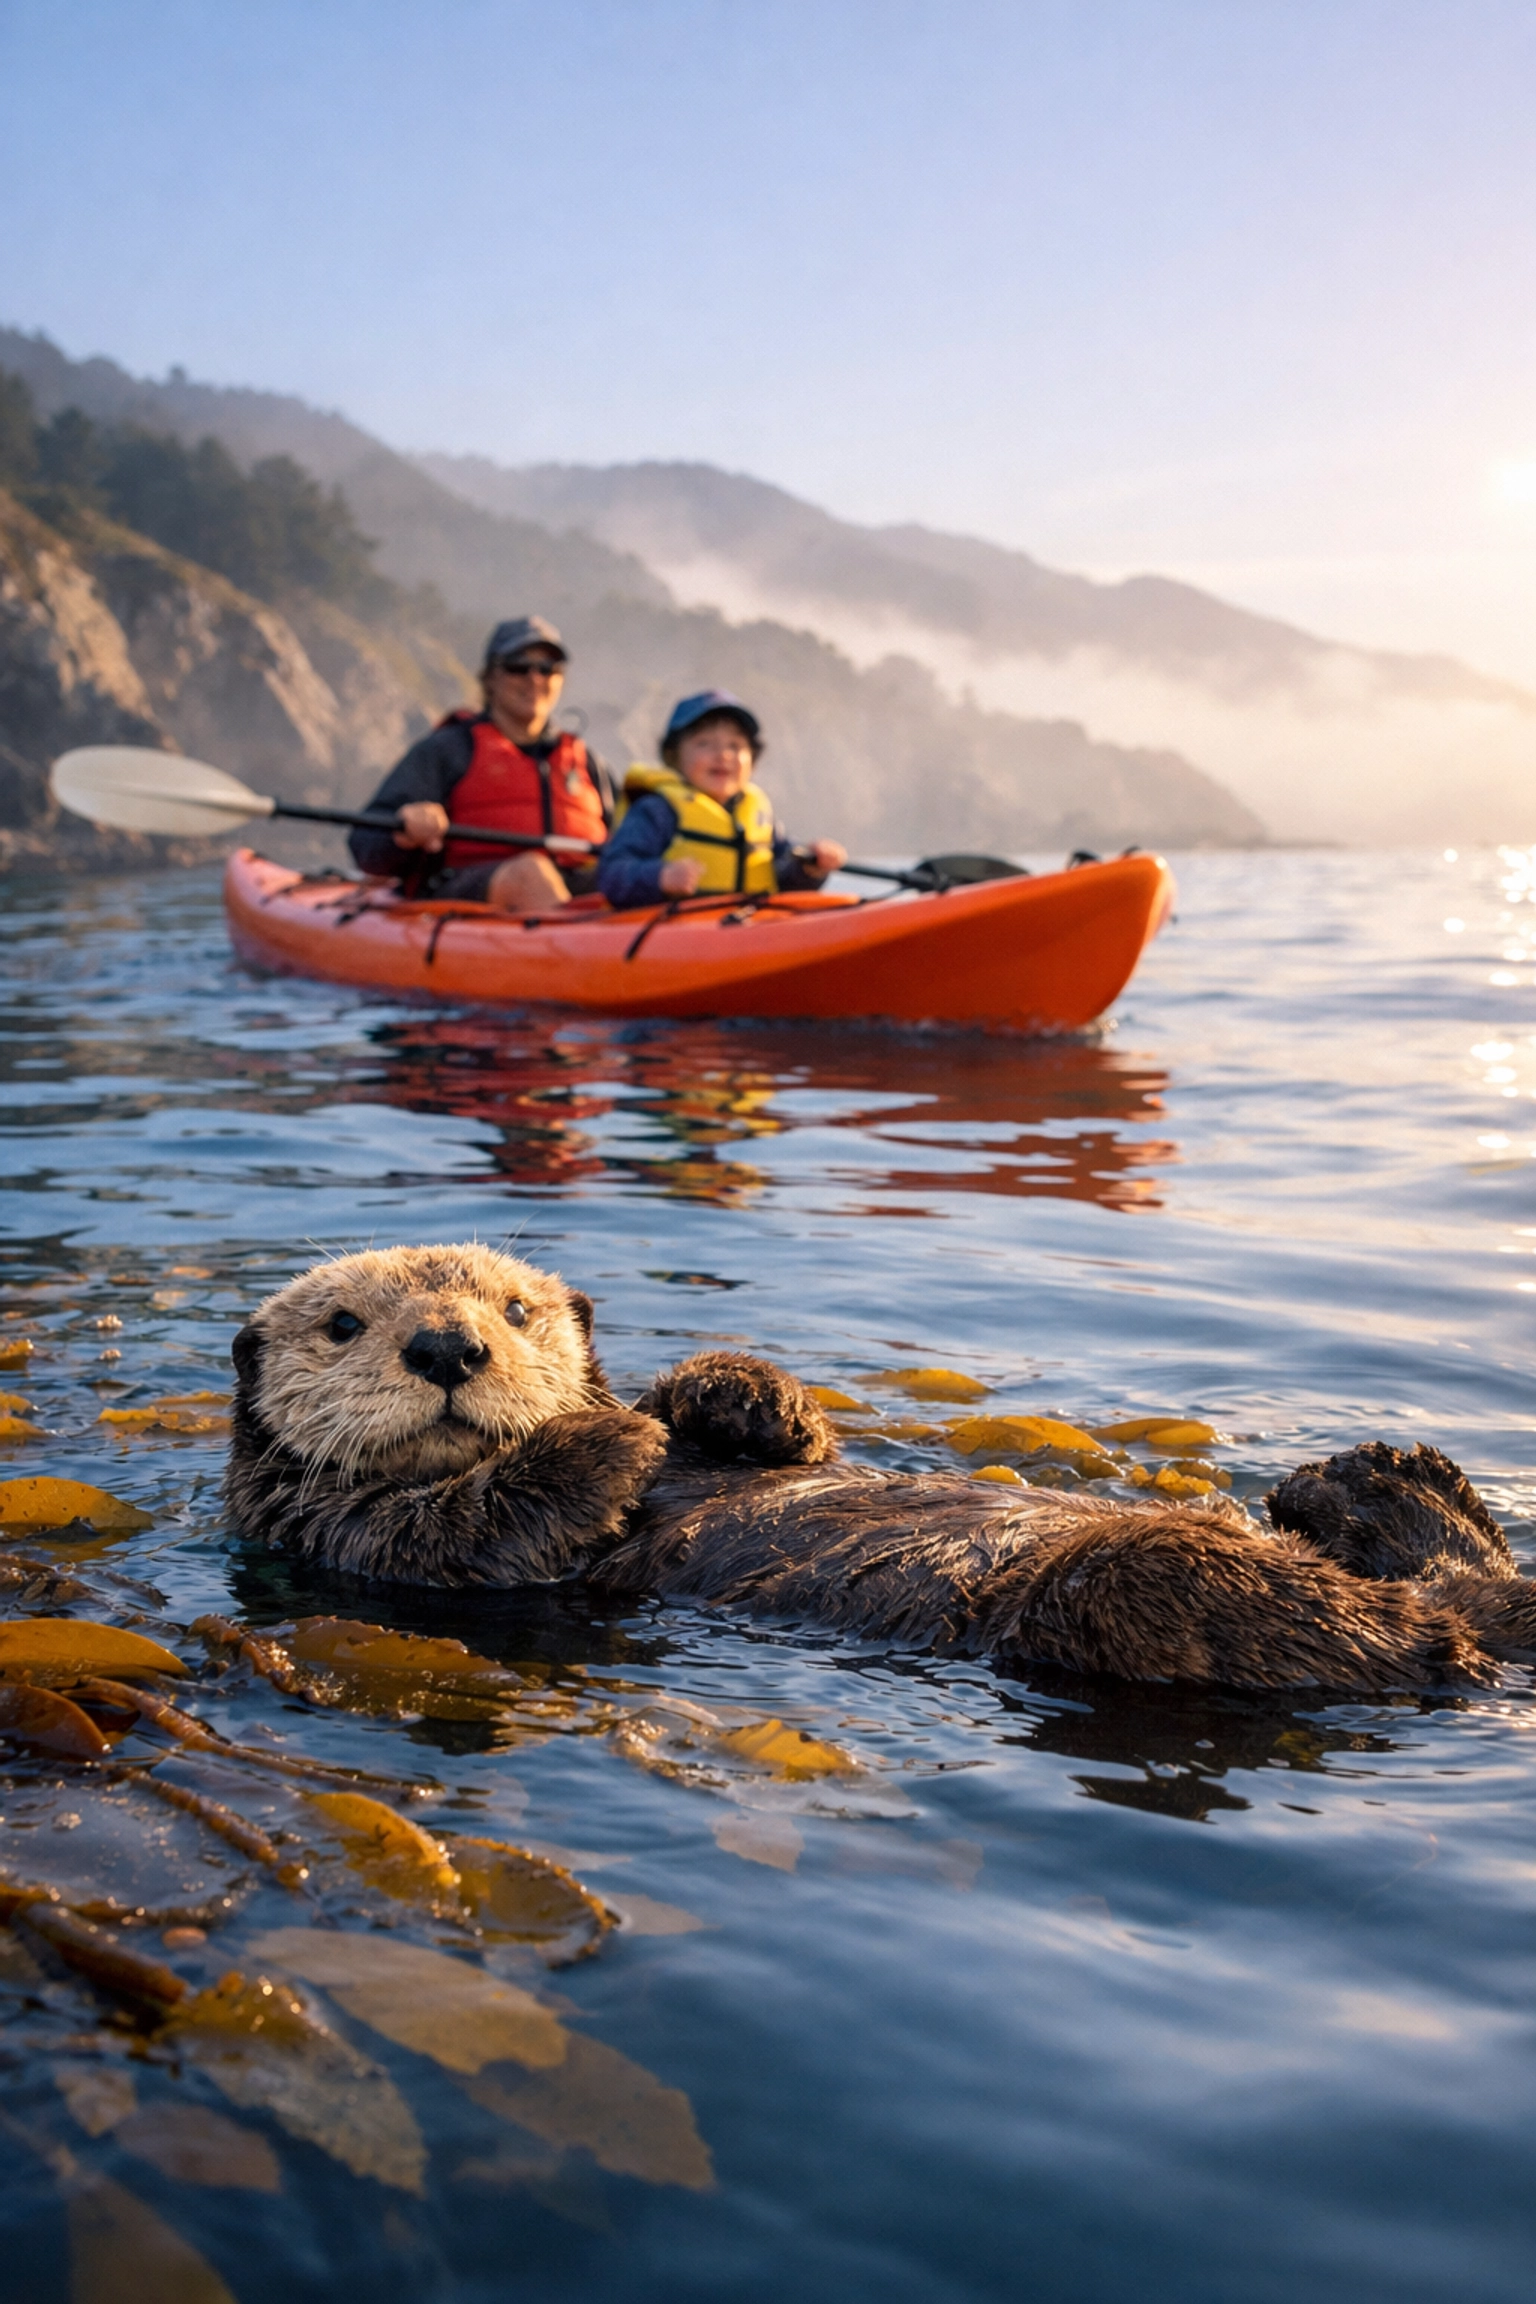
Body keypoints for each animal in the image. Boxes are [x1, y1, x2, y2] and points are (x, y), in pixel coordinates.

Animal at [225, 1244, 1535, 1694]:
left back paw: (1371, 1479)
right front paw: (609, 1445)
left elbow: (756, 1426)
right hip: (1115, 1600)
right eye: (342, 1325)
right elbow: (476, 1525)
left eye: (516, 1309)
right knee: (1401, 1632)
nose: (451, 1348)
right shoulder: (346, 1537)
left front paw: (740, 1397)